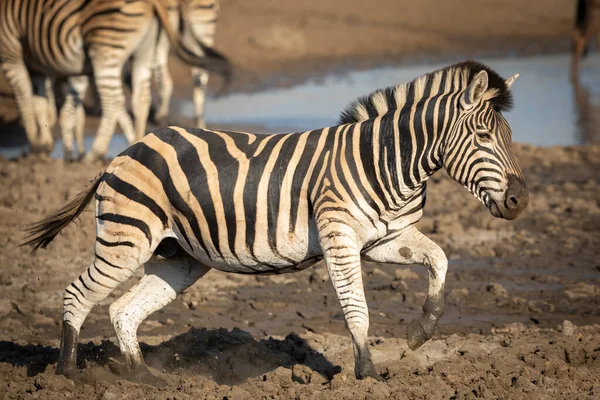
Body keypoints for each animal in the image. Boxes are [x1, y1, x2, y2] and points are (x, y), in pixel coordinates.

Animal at [0, 0, 231, 159]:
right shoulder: (46, 65)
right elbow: (45, 102)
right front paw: (53, 144)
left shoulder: (11, 51)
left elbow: (25, 97)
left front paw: (40, 146)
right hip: (186, 29)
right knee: (180, 81)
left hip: (109, 47)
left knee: (118, 99)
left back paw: (95, 153)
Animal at [24, 60, 528, 382]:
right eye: (483, 136)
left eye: (509, 135)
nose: (520, 201)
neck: (387, 161)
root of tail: (124, 153)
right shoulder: (340, 236)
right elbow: (357, 308)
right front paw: (368, 375)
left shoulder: (385, 239)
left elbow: (440, 260)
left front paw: (421, 332)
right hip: (126, 239)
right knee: (77, 294)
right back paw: (67, 376)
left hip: (177, 257)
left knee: (122, 311)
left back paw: (146, 379)